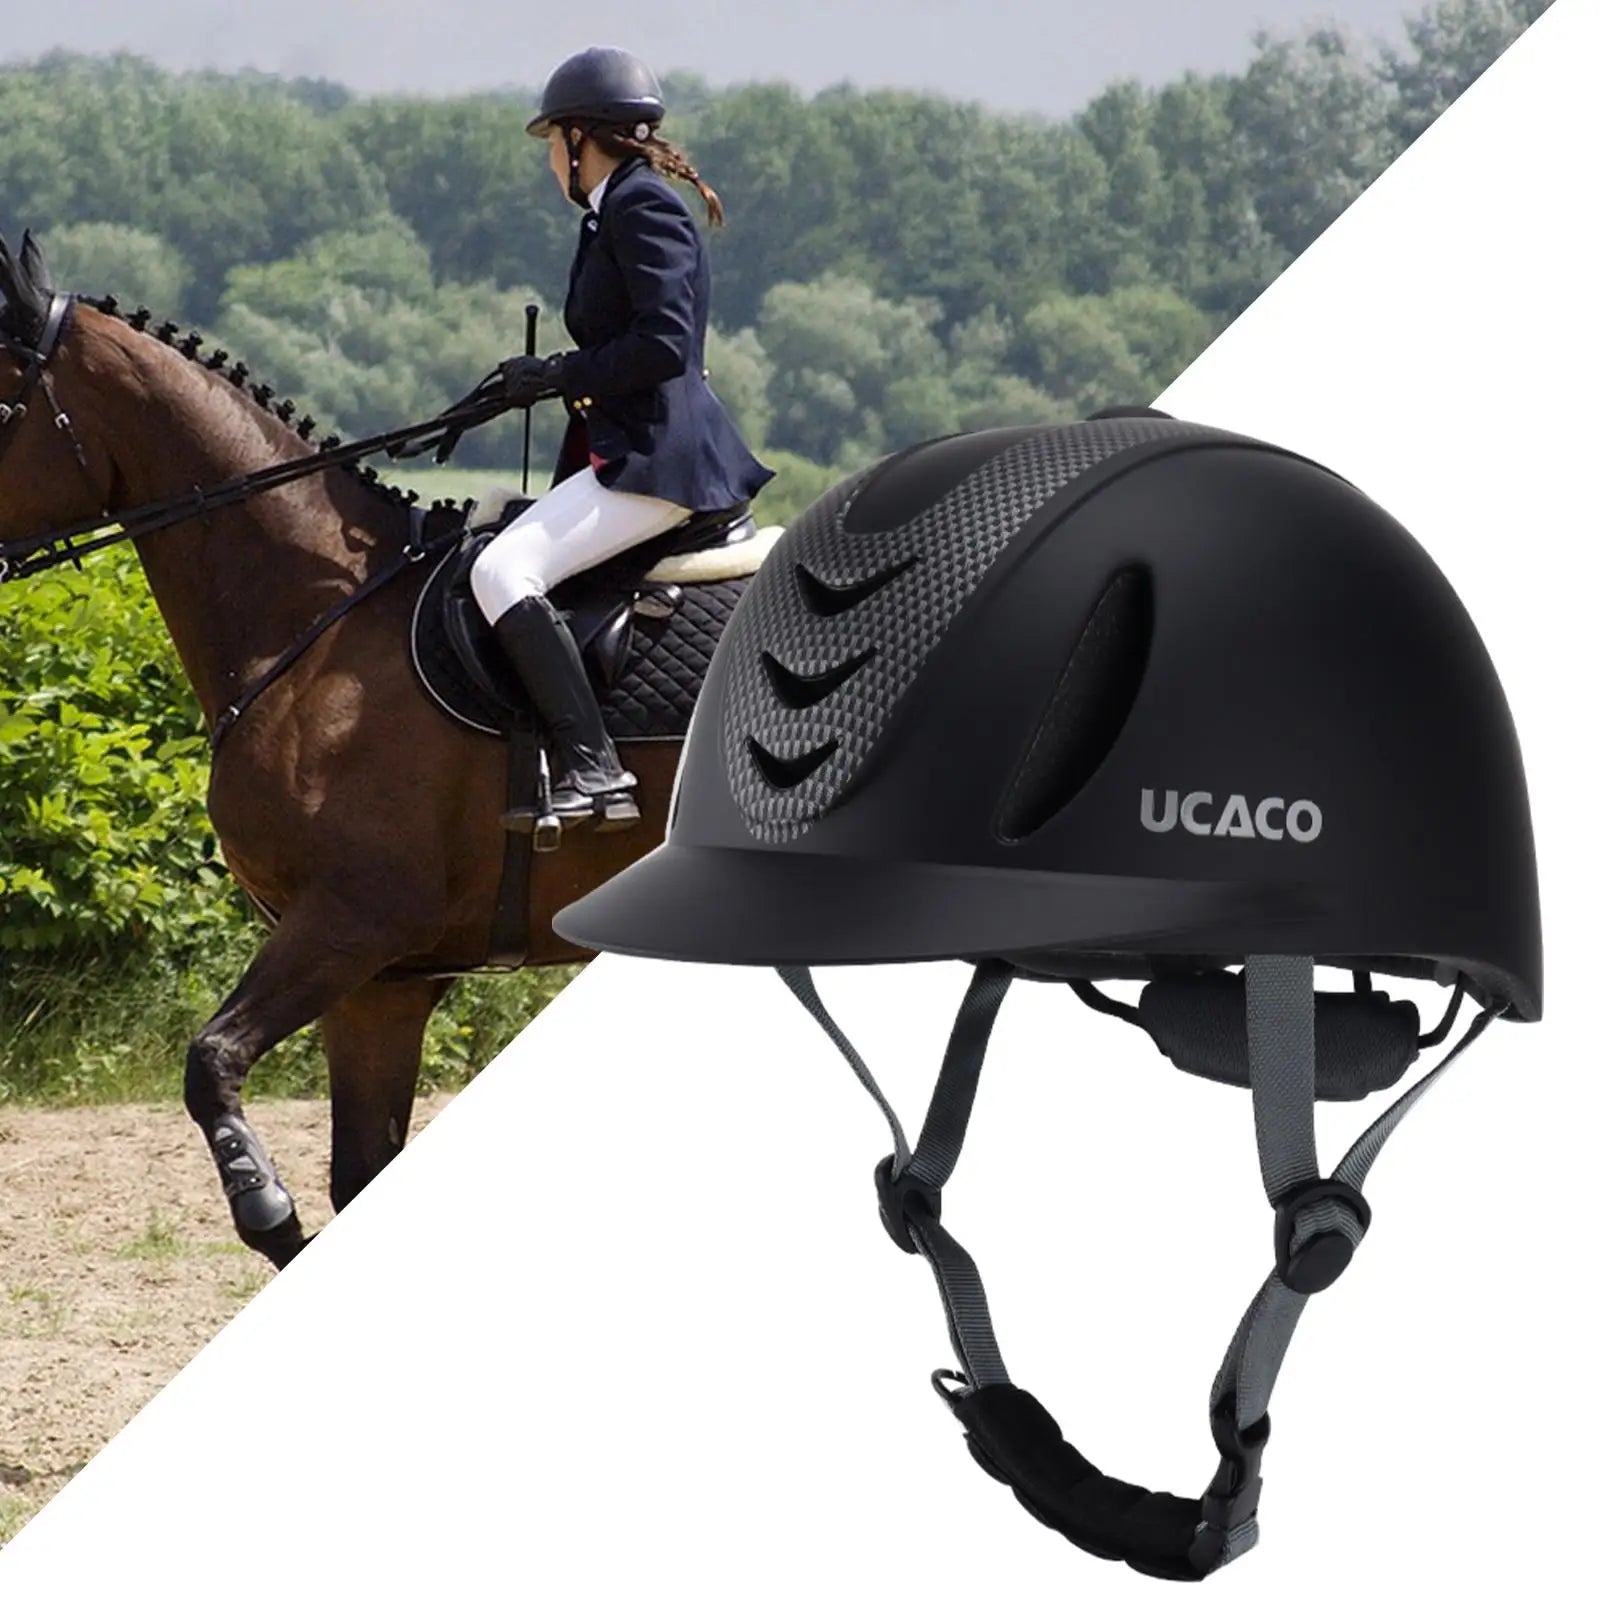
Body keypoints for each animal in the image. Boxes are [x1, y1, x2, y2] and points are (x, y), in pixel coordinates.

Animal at [0, 230, 762, 1268]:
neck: (318, 621)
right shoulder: (385, 983)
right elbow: (359, 1175)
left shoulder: (353, 922)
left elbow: (210, 1063)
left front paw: (267, 1211)